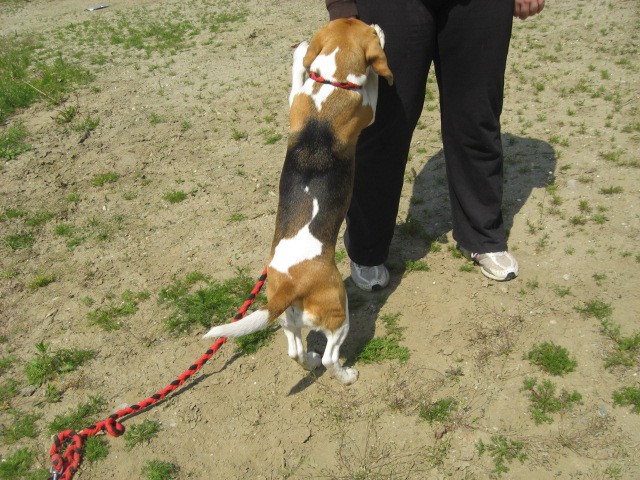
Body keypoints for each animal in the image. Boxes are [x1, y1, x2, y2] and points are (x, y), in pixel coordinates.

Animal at [205, 19, 396, 386]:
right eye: (369, 29)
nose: (379, 25)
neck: (331, 83)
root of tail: (290, 285)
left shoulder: (297, 99)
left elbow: (297, 77)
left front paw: (302, 54)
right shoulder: (368, 108)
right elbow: (373, 88)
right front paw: (374, 74)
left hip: (288, 319)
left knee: (295, 351)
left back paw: (307, 359)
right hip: (338, 311)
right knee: (330, 355)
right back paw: (345, 374)